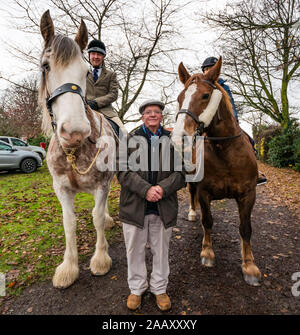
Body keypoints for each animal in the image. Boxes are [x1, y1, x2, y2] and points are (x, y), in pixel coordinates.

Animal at [38, 10, 116, 288]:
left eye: (85, 72)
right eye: (46, 66)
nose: (75, 131)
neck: (74, 151)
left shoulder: (102, 184)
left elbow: (96, 216)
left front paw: (100, 259)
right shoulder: (61, 189)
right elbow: (69, 223)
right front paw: (69, 267)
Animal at [172, 57, 262, 286]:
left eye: (205, 95)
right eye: (180, 97)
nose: (179, 138)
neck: (225, 151)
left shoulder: (248, 195)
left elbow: (245, 228)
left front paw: (249, 266)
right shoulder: (204, 192)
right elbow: (207, 221)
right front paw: (207, 253)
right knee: (192, 196)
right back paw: (192, 213)